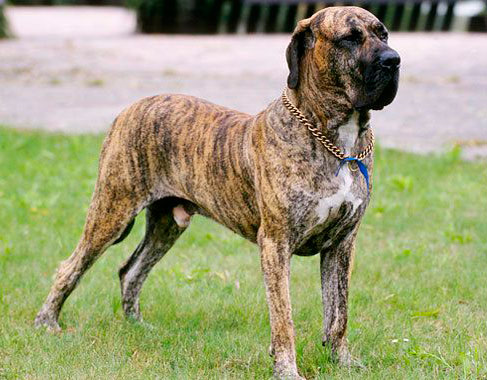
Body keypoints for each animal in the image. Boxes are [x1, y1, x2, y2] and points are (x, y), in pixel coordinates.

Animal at [34, 6, 400, 380]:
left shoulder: (341, 244)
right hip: (112, 210)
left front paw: (342, 361)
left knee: (131, 270)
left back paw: (137, 326)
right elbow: (284, 317)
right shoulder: (276, 244)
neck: (338, 142)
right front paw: (287, 369)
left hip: (167, 224)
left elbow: (338, 313)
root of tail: (131, 107)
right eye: (349, 38)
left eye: (382, 33)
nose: (394, 60)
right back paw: (47, 323)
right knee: (70, 267)